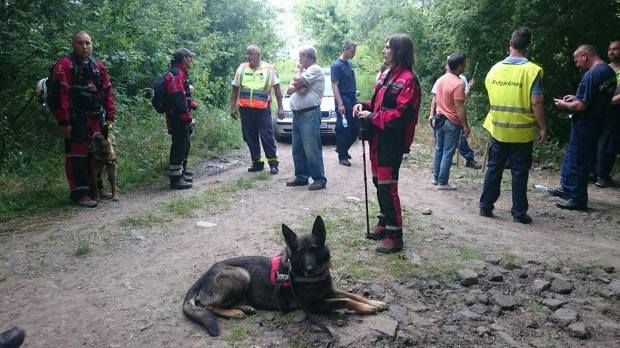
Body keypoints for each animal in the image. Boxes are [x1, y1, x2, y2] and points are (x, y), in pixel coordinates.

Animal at [182, 216, 390, 336]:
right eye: (298, 252)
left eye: (314, 249)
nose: (309, 269)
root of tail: (204, 275)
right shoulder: (314, 305)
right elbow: (344, 301)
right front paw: (366, 308)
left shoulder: (329, 290)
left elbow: (351, 294)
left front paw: (374, 302)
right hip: (241, 275)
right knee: (209, 306)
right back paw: (234, 312)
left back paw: (243, 307)